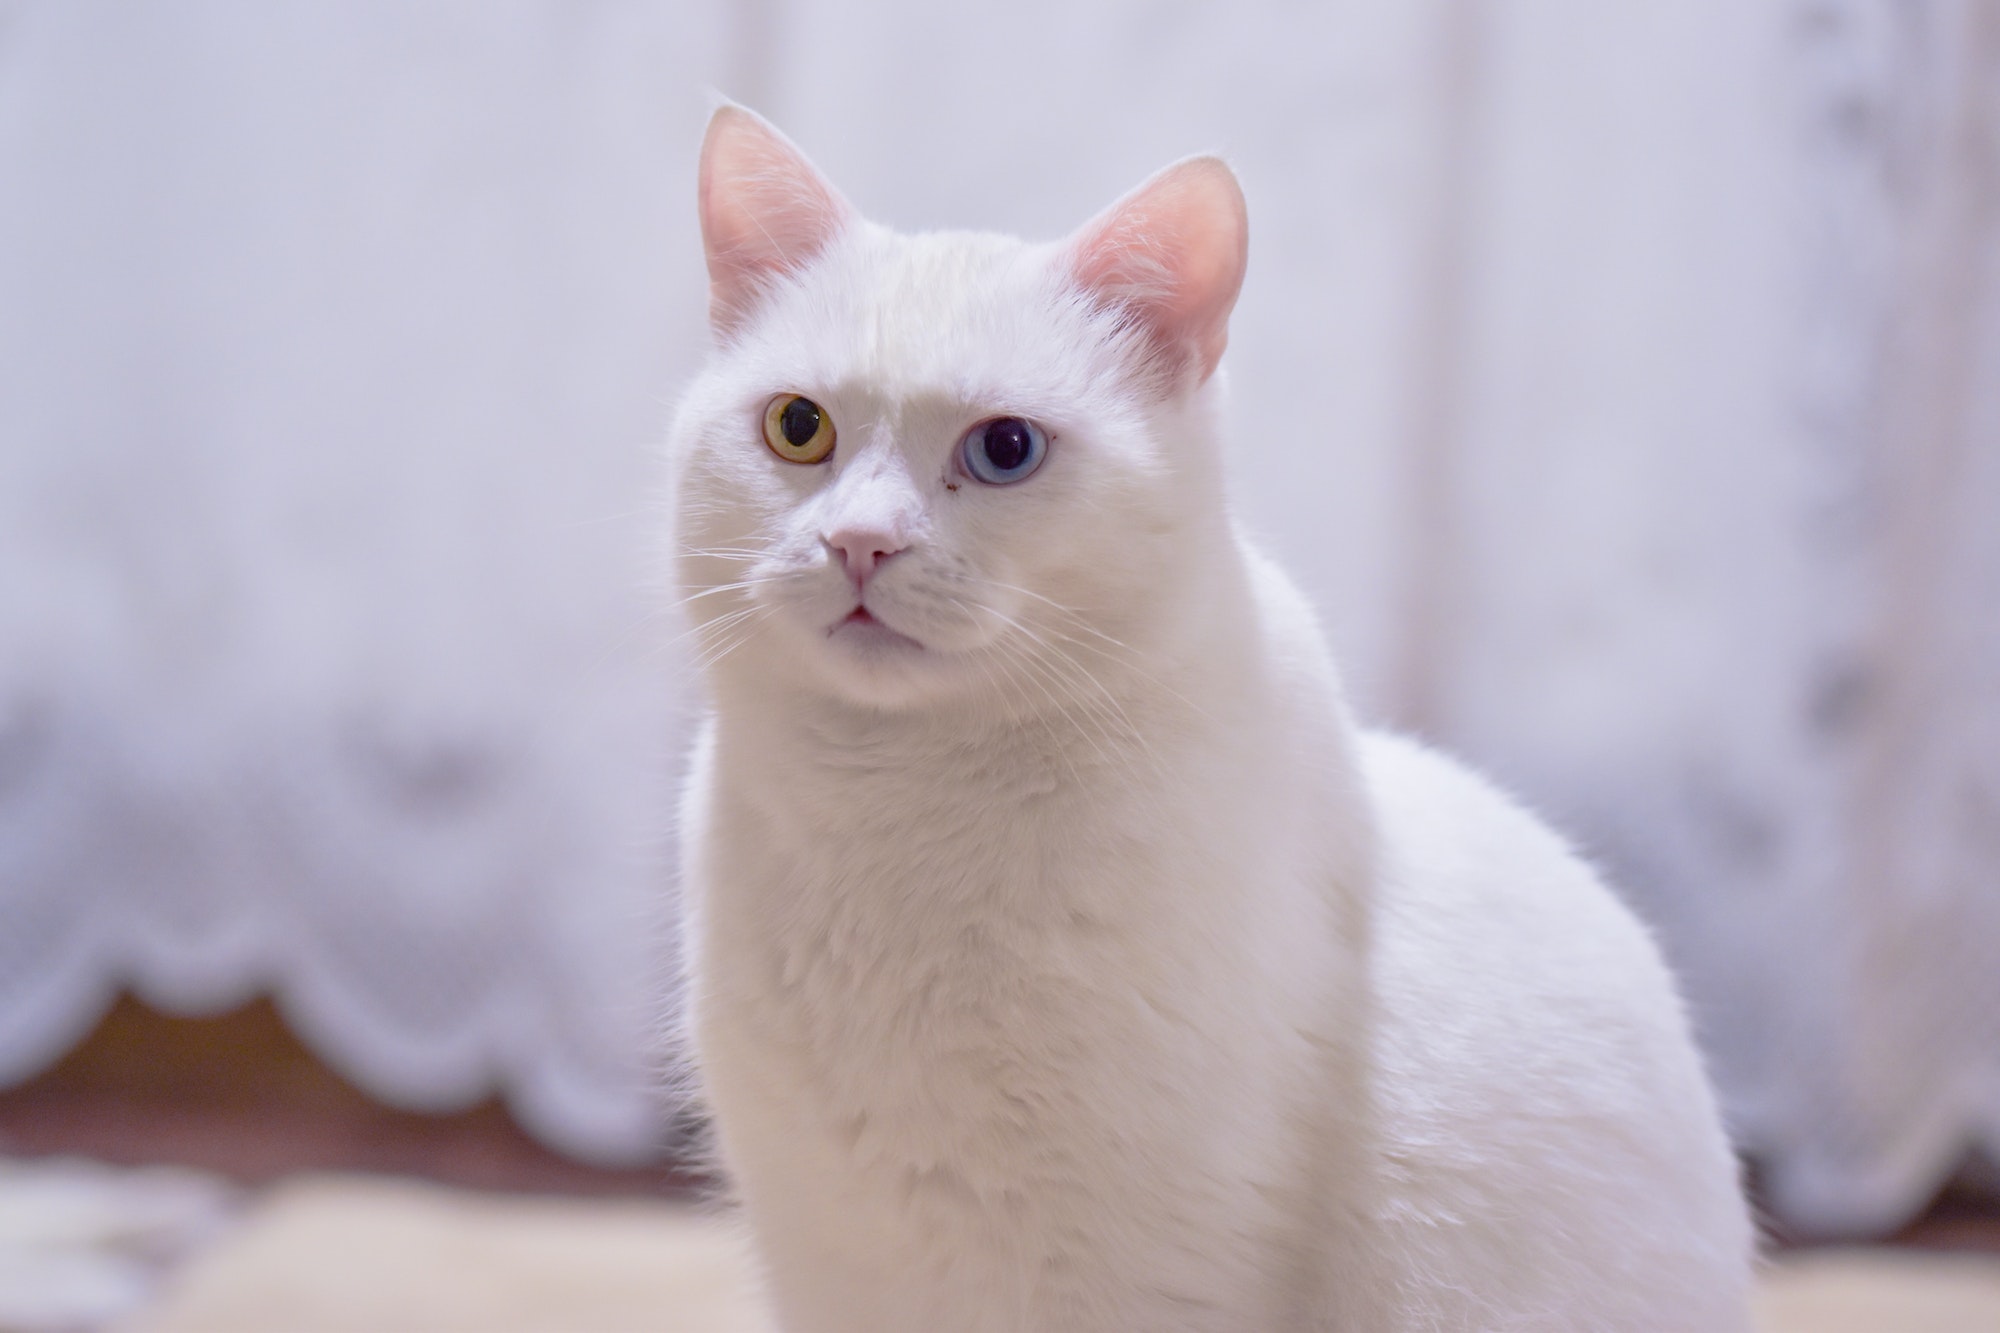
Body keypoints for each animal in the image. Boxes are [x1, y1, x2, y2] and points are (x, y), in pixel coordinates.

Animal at [660, 106, 1752, 1328]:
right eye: (799, 427)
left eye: (1004, 448)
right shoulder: (838, 1263)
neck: (891, 819)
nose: (859, 542)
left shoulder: (1148, 1271)